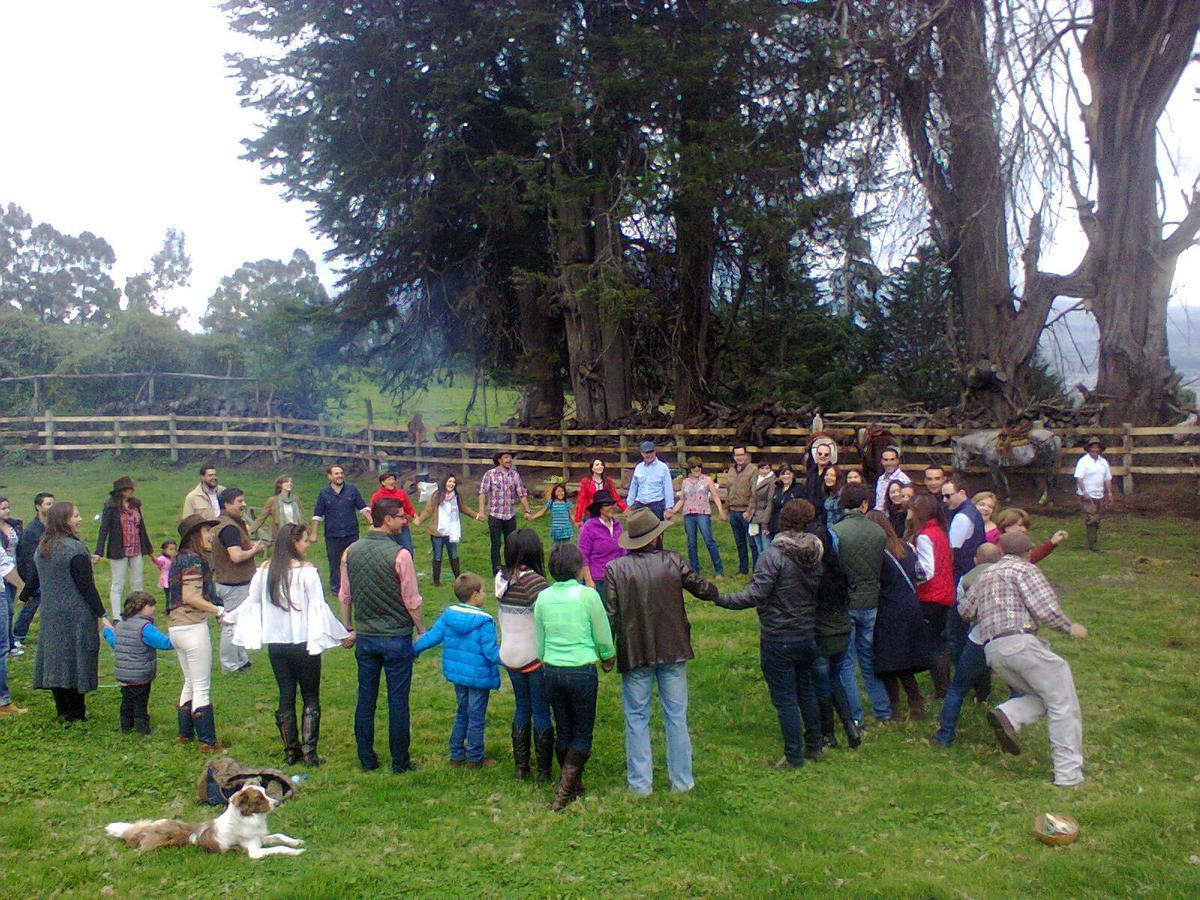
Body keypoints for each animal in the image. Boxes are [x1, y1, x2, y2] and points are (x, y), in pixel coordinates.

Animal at [104, 787, 304, 864]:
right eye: (259, 798)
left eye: (265, 792)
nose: (277, 803)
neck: (249, 817)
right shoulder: (254, 851)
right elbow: (279, 847)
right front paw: (297, 852)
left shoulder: (260, 837)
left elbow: (279, 836)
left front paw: (297, 842)